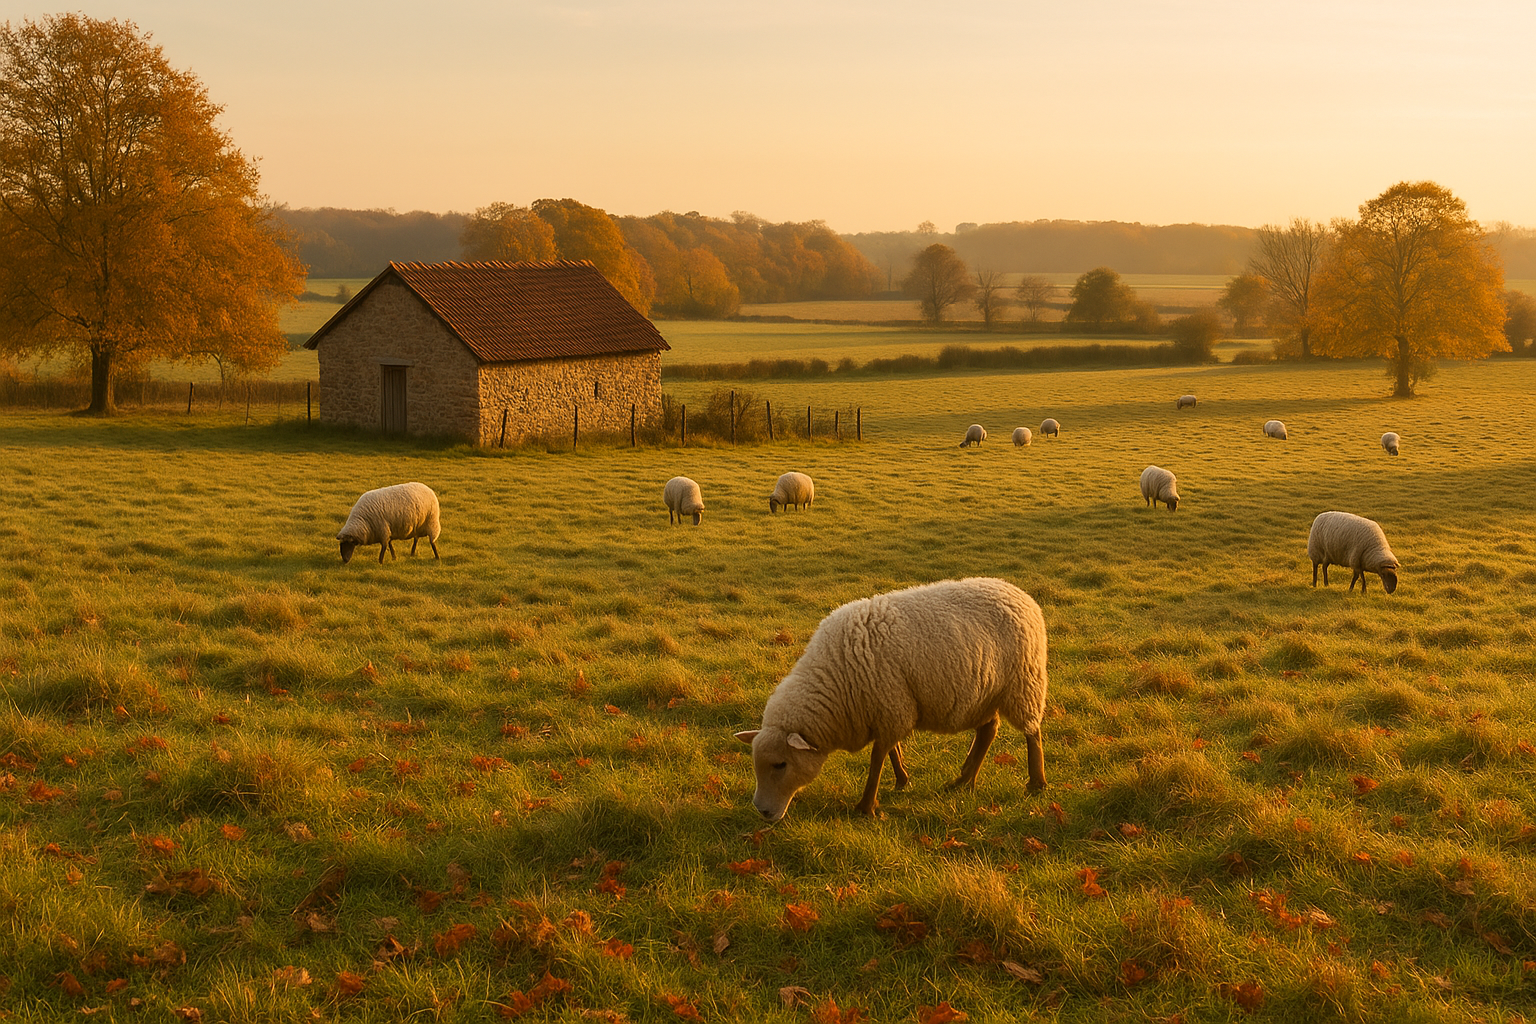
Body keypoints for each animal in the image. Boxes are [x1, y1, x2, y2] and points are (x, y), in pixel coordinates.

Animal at [734, 577, 1048, 821]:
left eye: (780, 765)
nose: (762, 811)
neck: (836, 677)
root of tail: (1019, 593)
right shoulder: (886, 707)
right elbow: (891, 749)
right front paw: (901, 780)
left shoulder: (891, 705)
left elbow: (877, 758)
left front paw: (866, 807)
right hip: (985, 692)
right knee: (988, 730)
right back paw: (963, 780)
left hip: (1024, 681)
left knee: (1031, 732)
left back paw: (1036, 783)